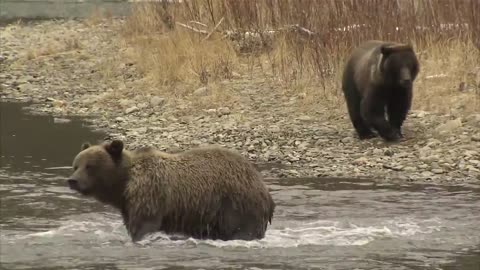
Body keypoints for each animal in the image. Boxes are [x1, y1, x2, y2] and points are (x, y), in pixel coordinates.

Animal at [68, 140, 278, 242]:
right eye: (76, 165)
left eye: (90, 166)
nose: (72, 180)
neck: (123, 185)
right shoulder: (128, 206)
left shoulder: (149, 196)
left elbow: (144, 227)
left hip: (237, 205)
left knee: (243, 230)